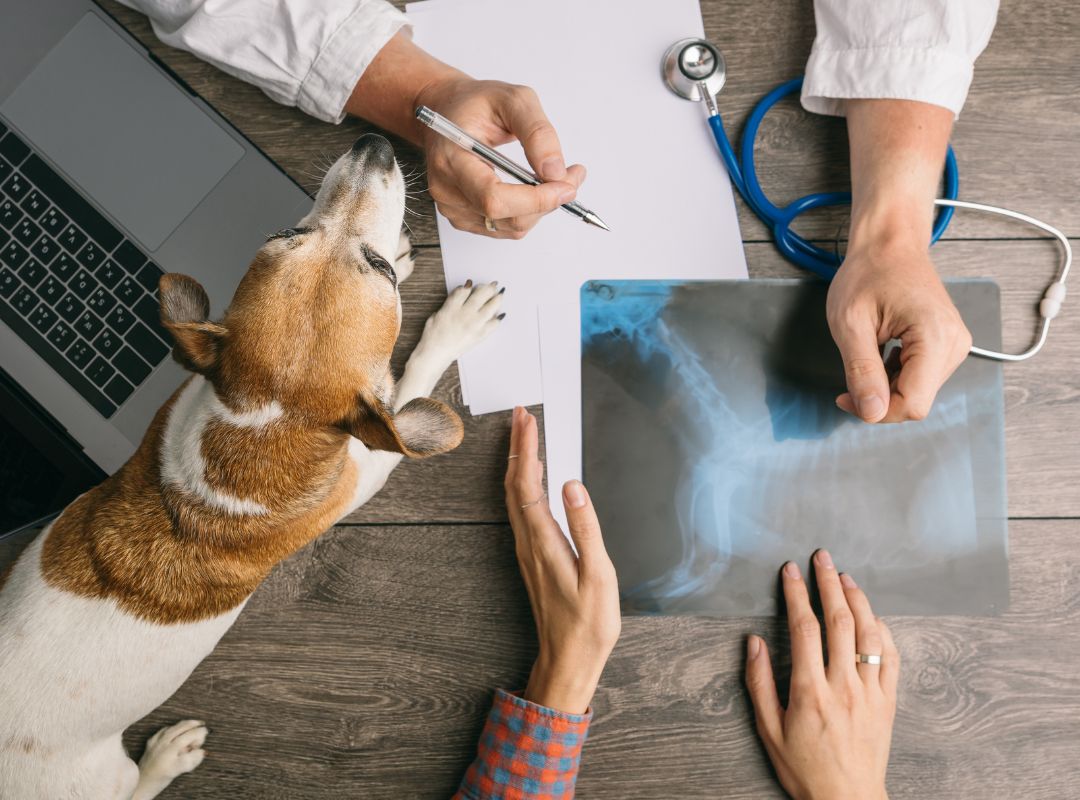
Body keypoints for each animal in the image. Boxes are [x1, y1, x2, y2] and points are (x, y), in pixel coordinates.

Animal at [0, 134, 503, 794]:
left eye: (288, 229)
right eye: (383, 273)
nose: (372, 145)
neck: (262, 422)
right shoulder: (366, 466)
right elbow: (410, 379)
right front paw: (454, 326)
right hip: (100, 777)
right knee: (136, 785)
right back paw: (167, 757)